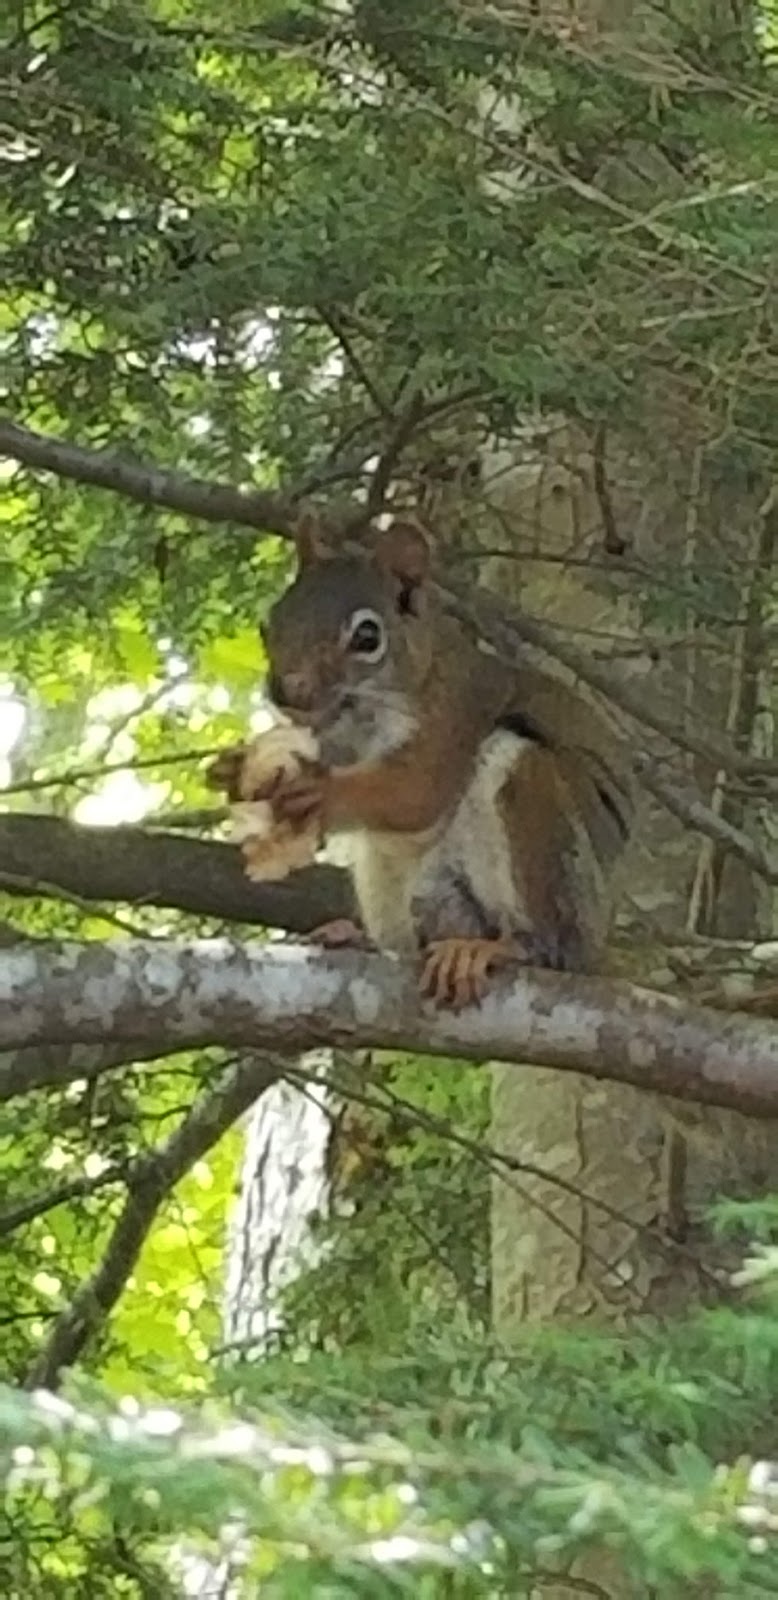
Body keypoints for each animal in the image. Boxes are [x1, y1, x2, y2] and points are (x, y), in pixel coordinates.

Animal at [211, 518, 630, 1004]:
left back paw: (499, 949)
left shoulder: (457, 710)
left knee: (547, 946)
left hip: (537, 818)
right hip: (398, 879)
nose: (286, 691)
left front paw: (319, 789)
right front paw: (238, 768)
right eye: (268, 624)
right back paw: (358, 939)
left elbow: (416, 792)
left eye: (367, 637)